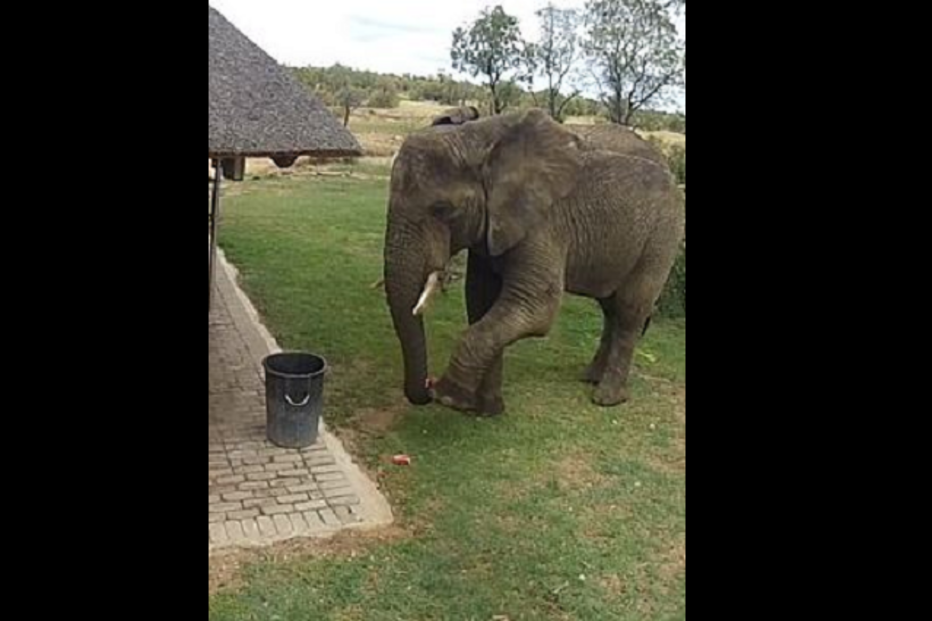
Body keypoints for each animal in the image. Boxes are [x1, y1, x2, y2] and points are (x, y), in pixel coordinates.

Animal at [383, 108, 685, 416]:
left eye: (442, 209)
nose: (427, 386)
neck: (480, 139)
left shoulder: (544, 223)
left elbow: (536, 307)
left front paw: (450, 397)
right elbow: (481, 300)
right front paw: (487, 410)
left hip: (663, 235)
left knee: (629, 308)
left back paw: (607, 397)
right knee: (610, 307)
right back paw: (590, 377)